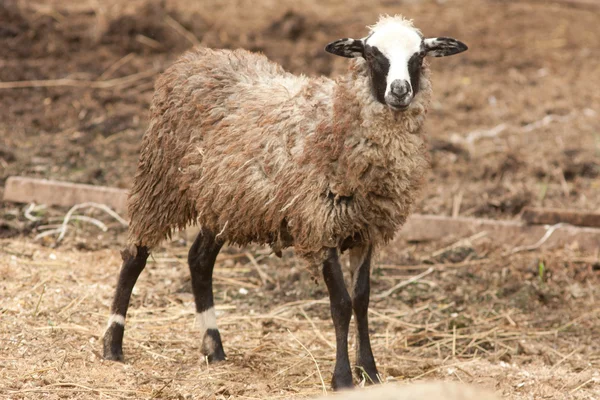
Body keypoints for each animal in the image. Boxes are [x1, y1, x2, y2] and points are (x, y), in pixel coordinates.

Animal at [103, 15, 468, 390]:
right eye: (370, 54)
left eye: (419, 55)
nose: (399, 91)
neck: (338, 120)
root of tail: (195, 57)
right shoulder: (320, 225)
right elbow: (341, 304)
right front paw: (342, 379)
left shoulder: (366, 230)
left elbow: (362, 299)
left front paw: (370, 371)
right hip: (160, 181)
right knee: (135, 255)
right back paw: (113, 344)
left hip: (224, 199)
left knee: (199, 261)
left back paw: (214, 347)